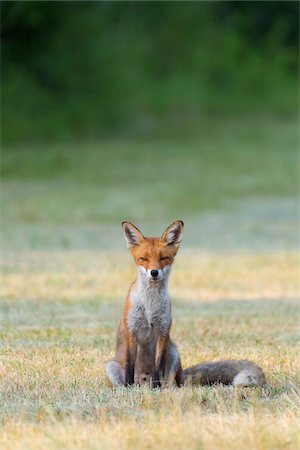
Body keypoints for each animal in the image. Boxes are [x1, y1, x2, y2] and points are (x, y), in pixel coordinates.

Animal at [106, 221, 266, 386]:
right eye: (143, 258)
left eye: (164, 258)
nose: (154, 272)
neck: (150, 306)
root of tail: (144, 380)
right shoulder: (131, 331)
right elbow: (129, 367)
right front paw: (129, 387)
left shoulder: (163, 331)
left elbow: (159, 367)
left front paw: (157, 388)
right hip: (111, 367)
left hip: (173, 353)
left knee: (172, 383)